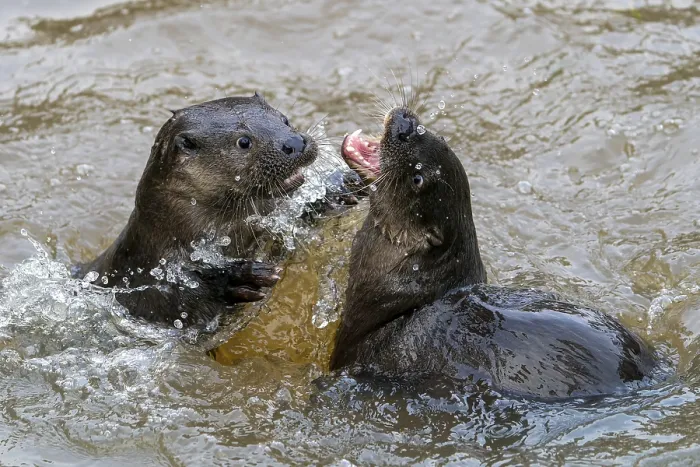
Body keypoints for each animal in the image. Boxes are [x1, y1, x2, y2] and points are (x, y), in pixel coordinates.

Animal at [74, 94, 318, 328]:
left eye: (284, 119)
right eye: (244, 141)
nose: (295, 142)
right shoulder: (149, 286)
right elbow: (185, 300)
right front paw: (236, 279)